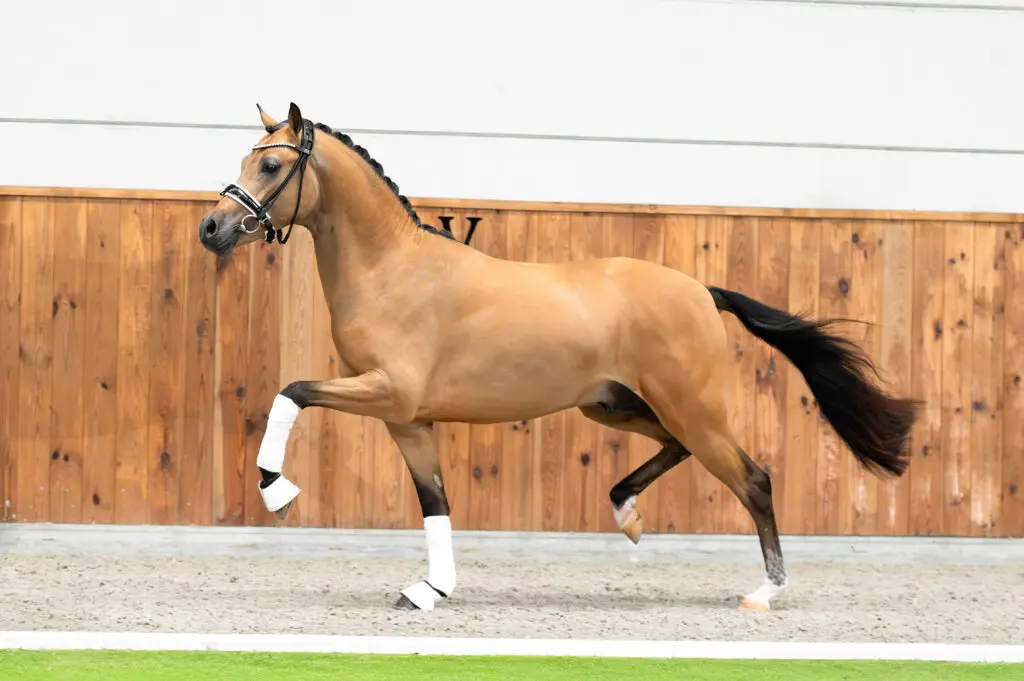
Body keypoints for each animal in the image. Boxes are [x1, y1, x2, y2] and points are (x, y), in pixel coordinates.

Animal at [198, 102, 920, 612]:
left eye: (270, 166)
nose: (213, 228)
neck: (392, 269)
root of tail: (701, 289)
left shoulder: (388, 392)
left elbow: (291, 391)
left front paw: (277, 490)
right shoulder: (408, 419)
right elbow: (436, 503)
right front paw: (431, 589)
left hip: (692, 411)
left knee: (755, 479)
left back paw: (764, 591)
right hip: (617, 407)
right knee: (677, 452)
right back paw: (627, 515)